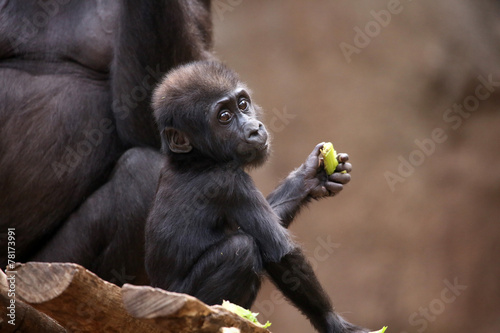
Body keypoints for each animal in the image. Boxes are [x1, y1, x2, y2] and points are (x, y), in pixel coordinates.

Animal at [146, 60, 366, 332]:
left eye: (242, 104)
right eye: (224, 117)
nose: (254, 129)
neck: (195, 158)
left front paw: (310, 177)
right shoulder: (230, 183)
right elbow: (280, 253)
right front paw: (332, 321)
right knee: (241, 249)